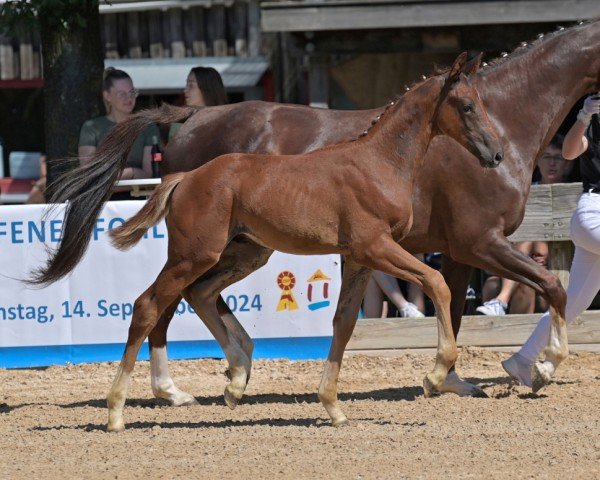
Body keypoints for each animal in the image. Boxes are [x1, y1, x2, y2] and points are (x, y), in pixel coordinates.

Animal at [104, 54, 502, 434]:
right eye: (467, 105)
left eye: (482, 102)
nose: (495, 153)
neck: (379, 164)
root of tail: (184, 177)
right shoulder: (374, 247)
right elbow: (436, 283)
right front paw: (434, 376)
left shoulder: (359, 259)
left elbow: (344, 322)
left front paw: (333, 407)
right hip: (193, 255)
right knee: (148, 306)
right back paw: (117, 412)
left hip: (245, 252)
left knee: (199, 294)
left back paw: (236, 379)